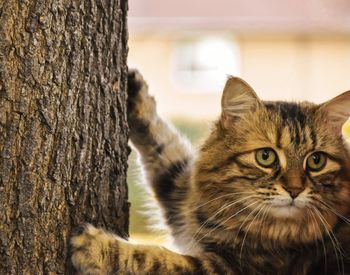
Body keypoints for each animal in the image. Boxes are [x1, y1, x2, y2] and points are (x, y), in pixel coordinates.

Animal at [69, 70, 350, 274]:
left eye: (316, 161)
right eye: (266, 156)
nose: (295, 190)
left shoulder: (229, 268)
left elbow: (156, 260)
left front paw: (97, 247)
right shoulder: (184, 197)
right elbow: (165, 146)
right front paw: (136, 93)